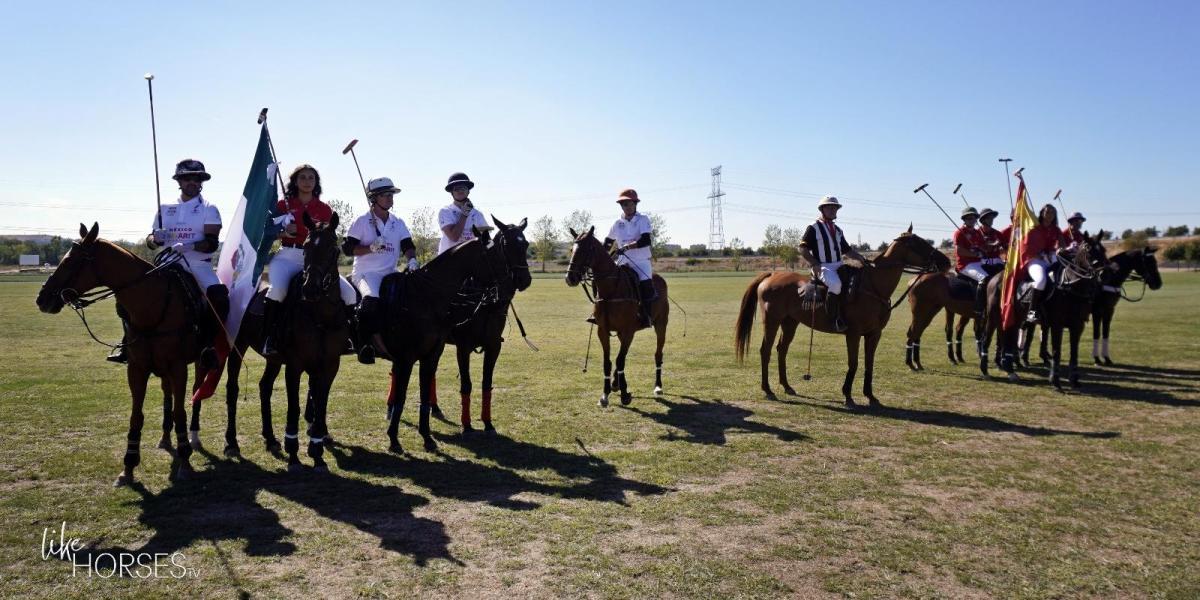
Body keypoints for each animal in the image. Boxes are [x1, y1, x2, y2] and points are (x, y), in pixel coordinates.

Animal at [34, 223, 218, 484]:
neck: (151, 305)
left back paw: (193, 438)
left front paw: (184, 460)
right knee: (167, 394)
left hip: (201, 361)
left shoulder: (177, 366)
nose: (42, 299)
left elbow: (180, 411)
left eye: (70, 261)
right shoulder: (137, 368)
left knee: (196, 393)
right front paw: (128, 465)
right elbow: (137, 415)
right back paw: (165, 438)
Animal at [201, 213, 348, 470]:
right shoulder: (295, 365)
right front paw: (294, 453)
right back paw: (231, 443)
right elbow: (294, 406)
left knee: (264, 387)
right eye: (306, 247)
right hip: (238, 346)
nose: (310, 289)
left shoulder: (329, 366)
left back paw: (270, 439)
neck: (320, 315)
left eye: (333, 249)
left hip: (274, 359)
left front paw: (317, 452)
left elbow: (320, 404)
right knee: (232, 389)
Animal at [388, 234, 492, 451]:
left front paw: (427, 437)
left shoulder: (431, 354)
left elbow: (425, 394)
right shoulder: (408, 357)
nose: (497, 288)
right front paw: (393, 439)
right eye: (490, 254)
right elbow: (403, 396)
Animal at [561, 225, 667, 408]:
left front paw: (625, 394)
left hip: (661, 325)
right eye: (571, 249)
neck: (610, 290)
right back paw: (615, 384)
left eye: (587, 249)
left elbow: (620, 360)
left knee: (657, 354)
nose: (570, 278)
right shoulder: (603, 331)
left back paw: (658, 386)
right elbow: (609, 361)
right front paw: (605, 394)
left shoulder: (628, 330)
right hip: (620, 333)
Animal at [729, 226, 945, 410]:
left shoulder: (874, 334)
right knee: (765, 350)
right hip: (772, 320)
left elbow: (869, 364)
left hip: (790, 322)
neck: (873, 287)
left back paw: (787, 386)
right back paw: (768, 390)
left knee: (781, 349)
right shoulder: (853, 333)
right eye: (918, 243)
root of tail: (770, 275)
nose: (946, 262)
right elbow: (854, 363)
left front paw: (871, 396)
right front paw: (848, 396)